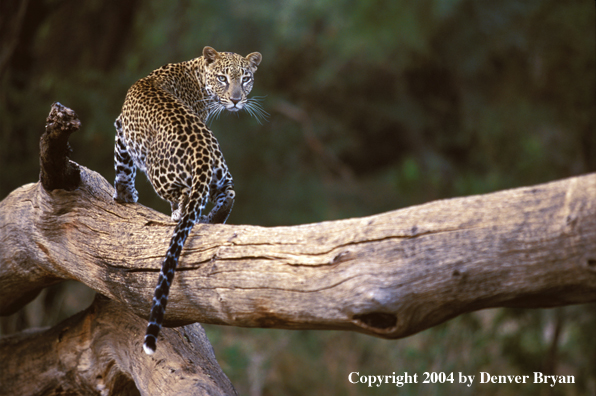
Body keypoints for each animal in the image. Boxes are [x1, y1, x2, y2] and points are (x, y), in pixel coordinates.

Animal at [113, 46, 264, 356]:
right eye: (222, 78)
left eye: (245, 78)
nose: (236, 99)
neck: (196, 74)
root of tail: (202, 150)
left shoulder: (121, 127)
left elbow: (122, 163)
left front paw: (123, 194)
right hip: (221, 172)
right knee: (227, 195)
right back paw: (211, 219)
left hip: (160, 173)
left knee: (182, 199)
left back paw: (178, 214)